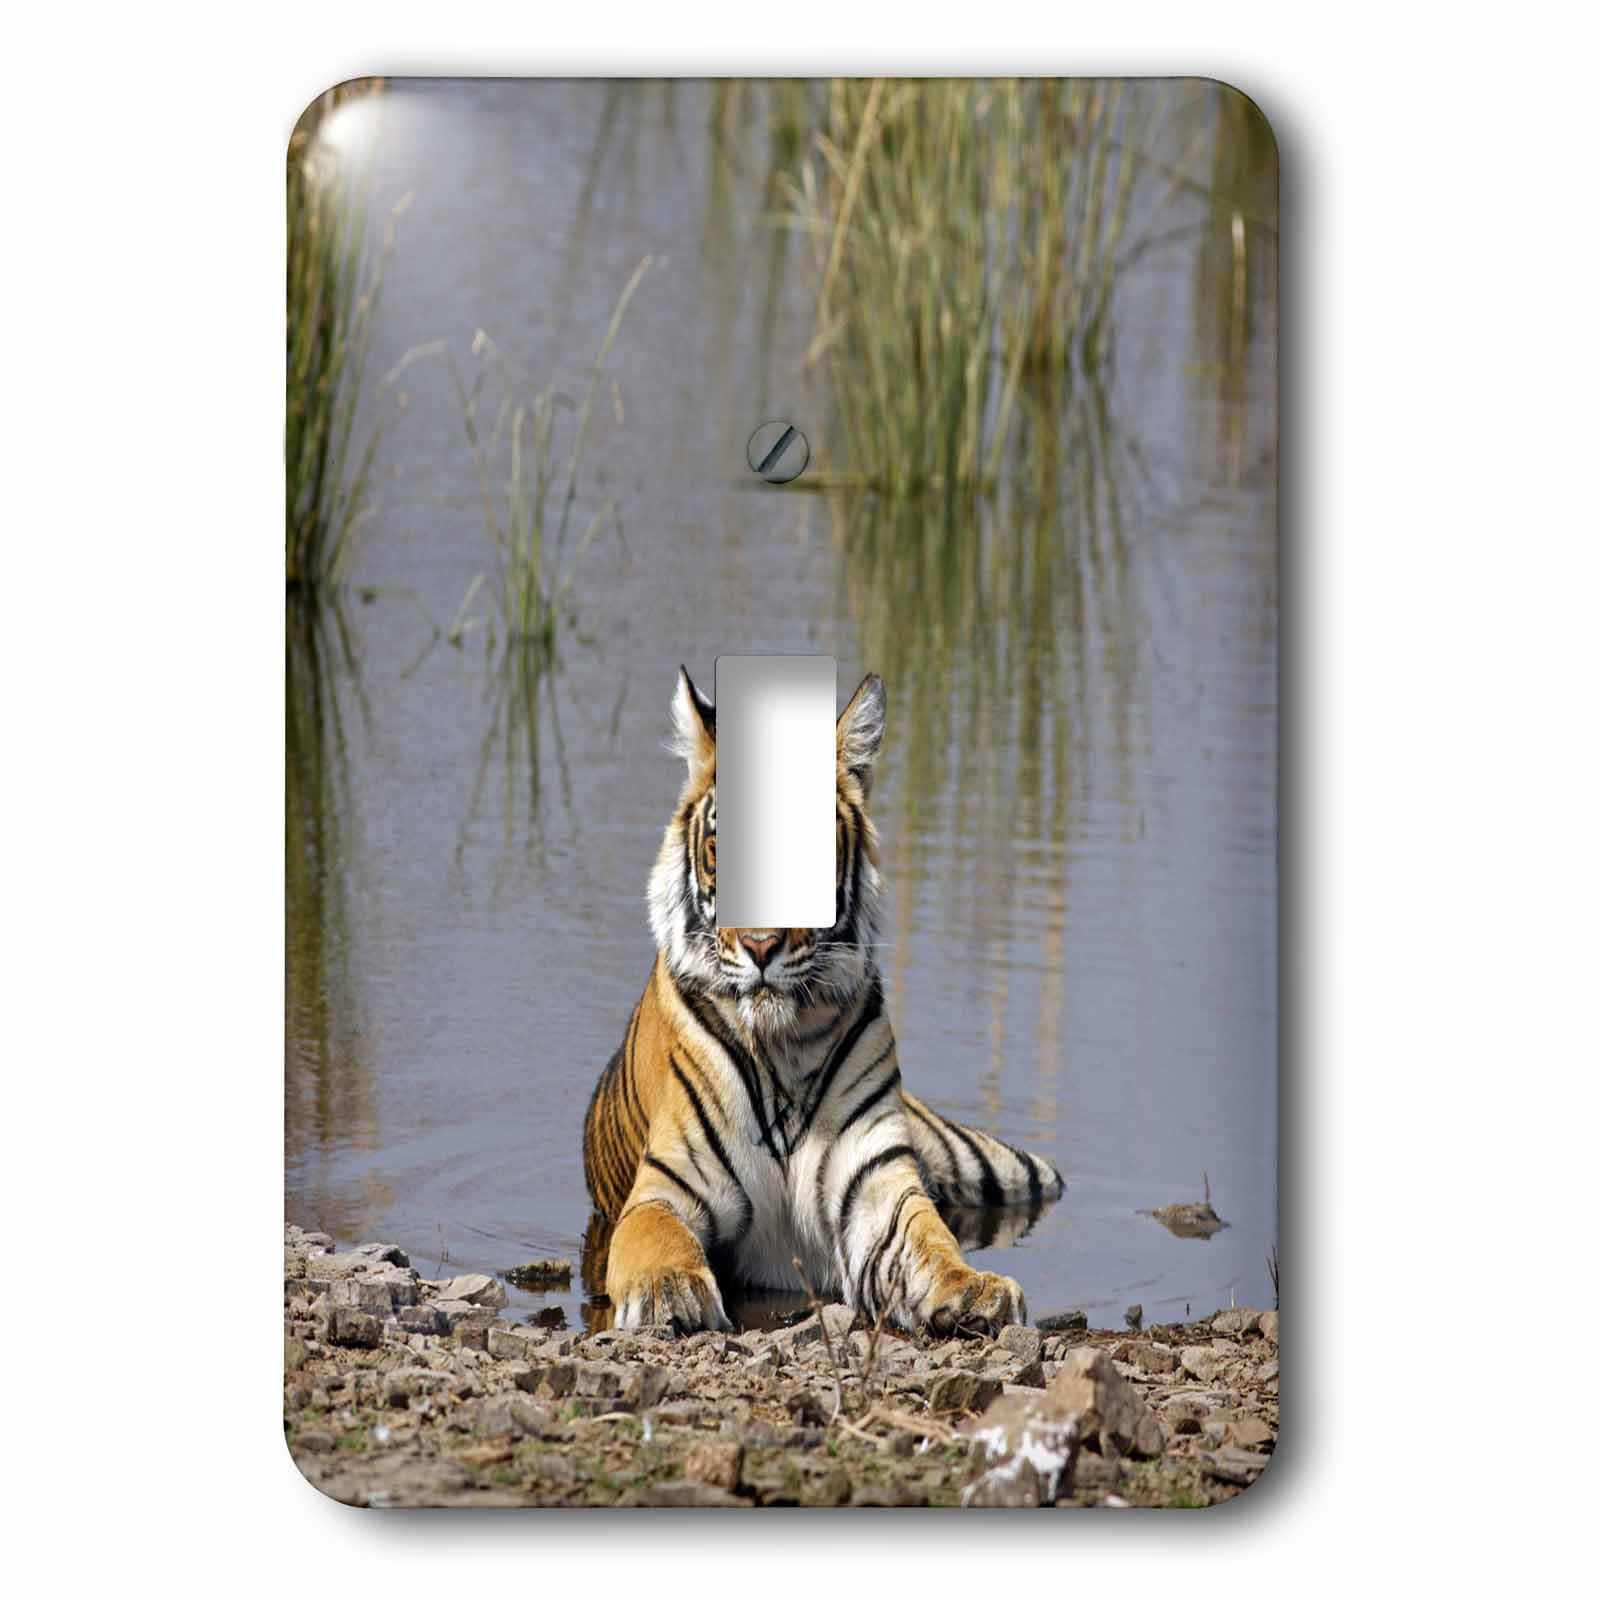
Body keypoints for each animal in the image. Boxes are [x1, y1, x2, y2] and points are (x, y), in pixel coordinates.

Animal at [581, 666, 1064, 1336]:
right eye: (725, 847)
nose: (761, 945)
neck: (782, 1047)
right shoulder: (666, 1188)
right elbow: (658, 1239)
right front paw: (666, 1292)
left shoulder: (878, 1187)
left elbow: (932, 1241)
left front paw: (973, 1289)